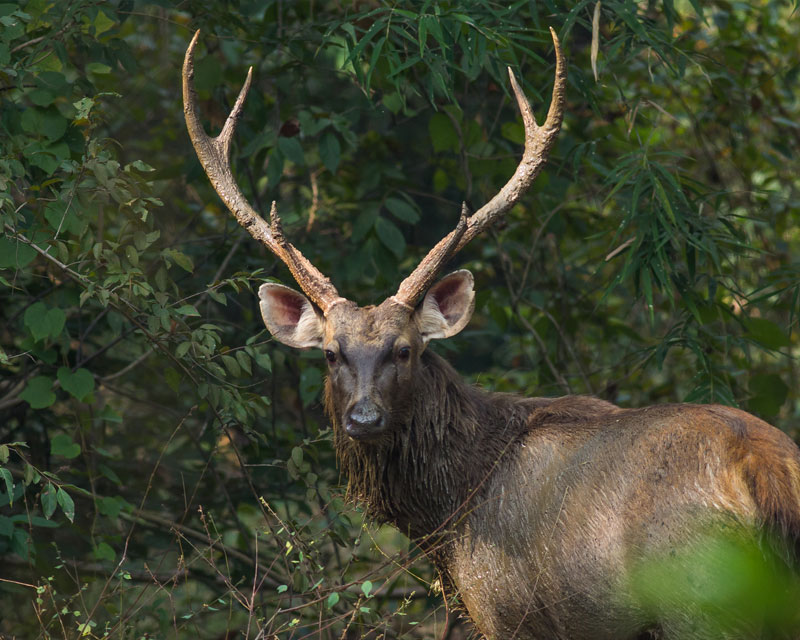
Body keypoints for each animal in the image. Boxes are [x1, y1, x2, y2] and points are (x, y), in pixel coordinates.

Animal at [184, 27, 800, 636]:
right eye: (332, 354)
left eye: (405, 350)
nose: (364, 419)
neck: (452, 506)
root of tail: (765, 476)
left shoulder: (509, 611)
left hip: (700, 599)